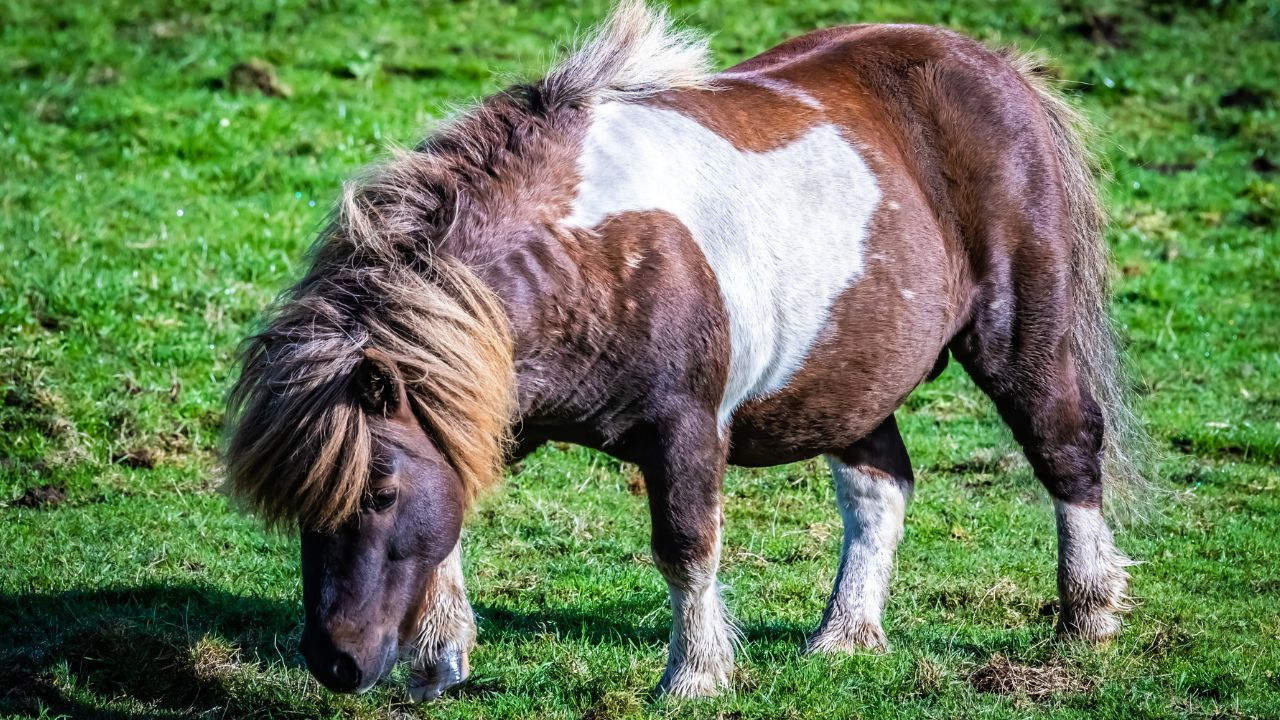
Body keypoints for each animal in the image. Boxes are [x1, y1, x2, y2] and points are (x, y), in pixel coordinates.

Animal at [224, 0, 1141, 701]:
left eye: (379, 491)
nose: (336, 664)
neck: (586, 251)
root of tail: (996, 67)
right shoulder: (485, 408)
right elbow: (451, 523)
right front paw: (439, 661)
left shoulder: (685, 429)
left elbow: (686, 547)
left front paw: (694, 678)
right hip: (850, 377)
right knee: (880, 490)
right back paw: (845, 636)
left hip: (1019, 336)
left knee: (1066, 446)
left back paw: (1088, 616)